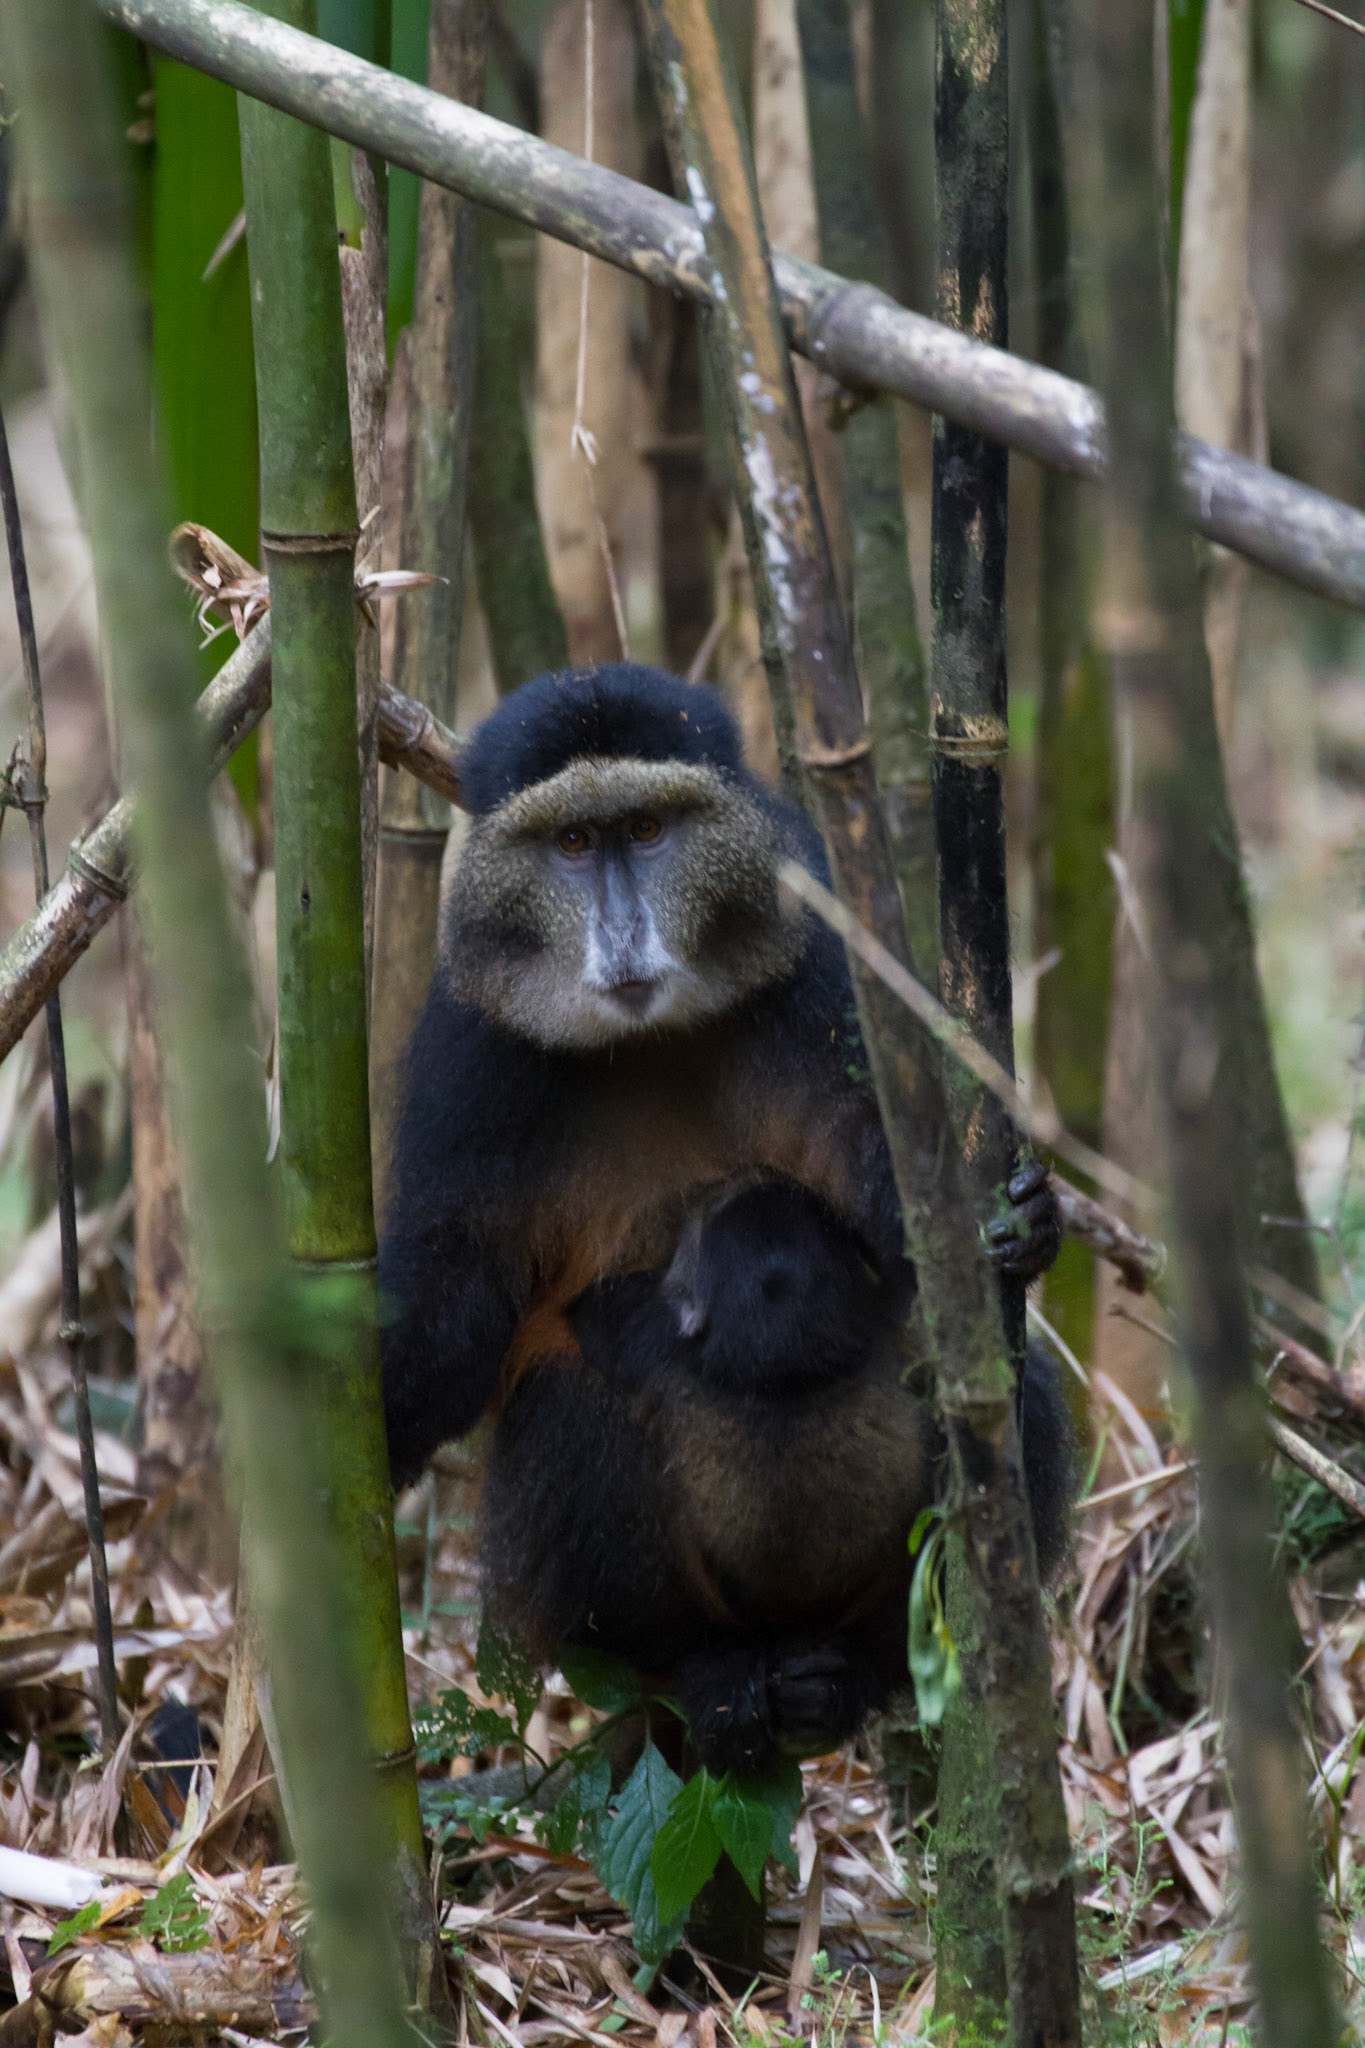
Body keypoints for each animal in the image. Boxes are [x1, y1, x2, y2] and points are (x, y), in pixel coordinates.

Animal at [380, 662, 1066, 1770]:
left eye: (647, 829)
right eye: (573, 845)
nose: (623, 934)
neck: (655, 1030)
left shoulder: (824, 962)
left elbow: (895, 1191)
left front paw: (1020, 1222)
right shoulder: (469, 1047)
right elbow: (455, 1298)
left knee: (1020, 1381)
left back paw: (869, 1669)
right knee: (567, 1402)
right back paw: (711, 1677)